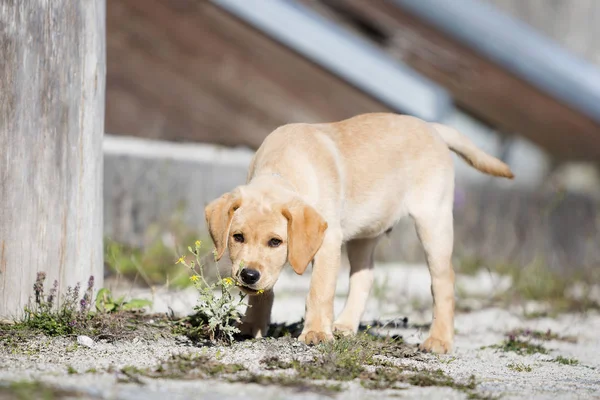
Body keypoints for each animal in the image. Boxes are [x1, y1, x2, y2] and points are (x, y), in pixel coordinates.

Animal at [205, 111, 510, 354]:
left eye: (276, 242)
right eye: (237, 237)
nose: (248, 275)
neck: (283, 167)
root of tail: (430, 126)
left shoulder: (329, 241)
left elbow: (319, 290)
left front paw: (316, 332)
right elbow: (263, 292)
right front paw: (253, 324)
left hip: (433, 220)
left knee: (443, 281)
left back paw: (439, 340)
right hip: (366, 233)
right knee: (365, 277)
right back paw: (345, 324)